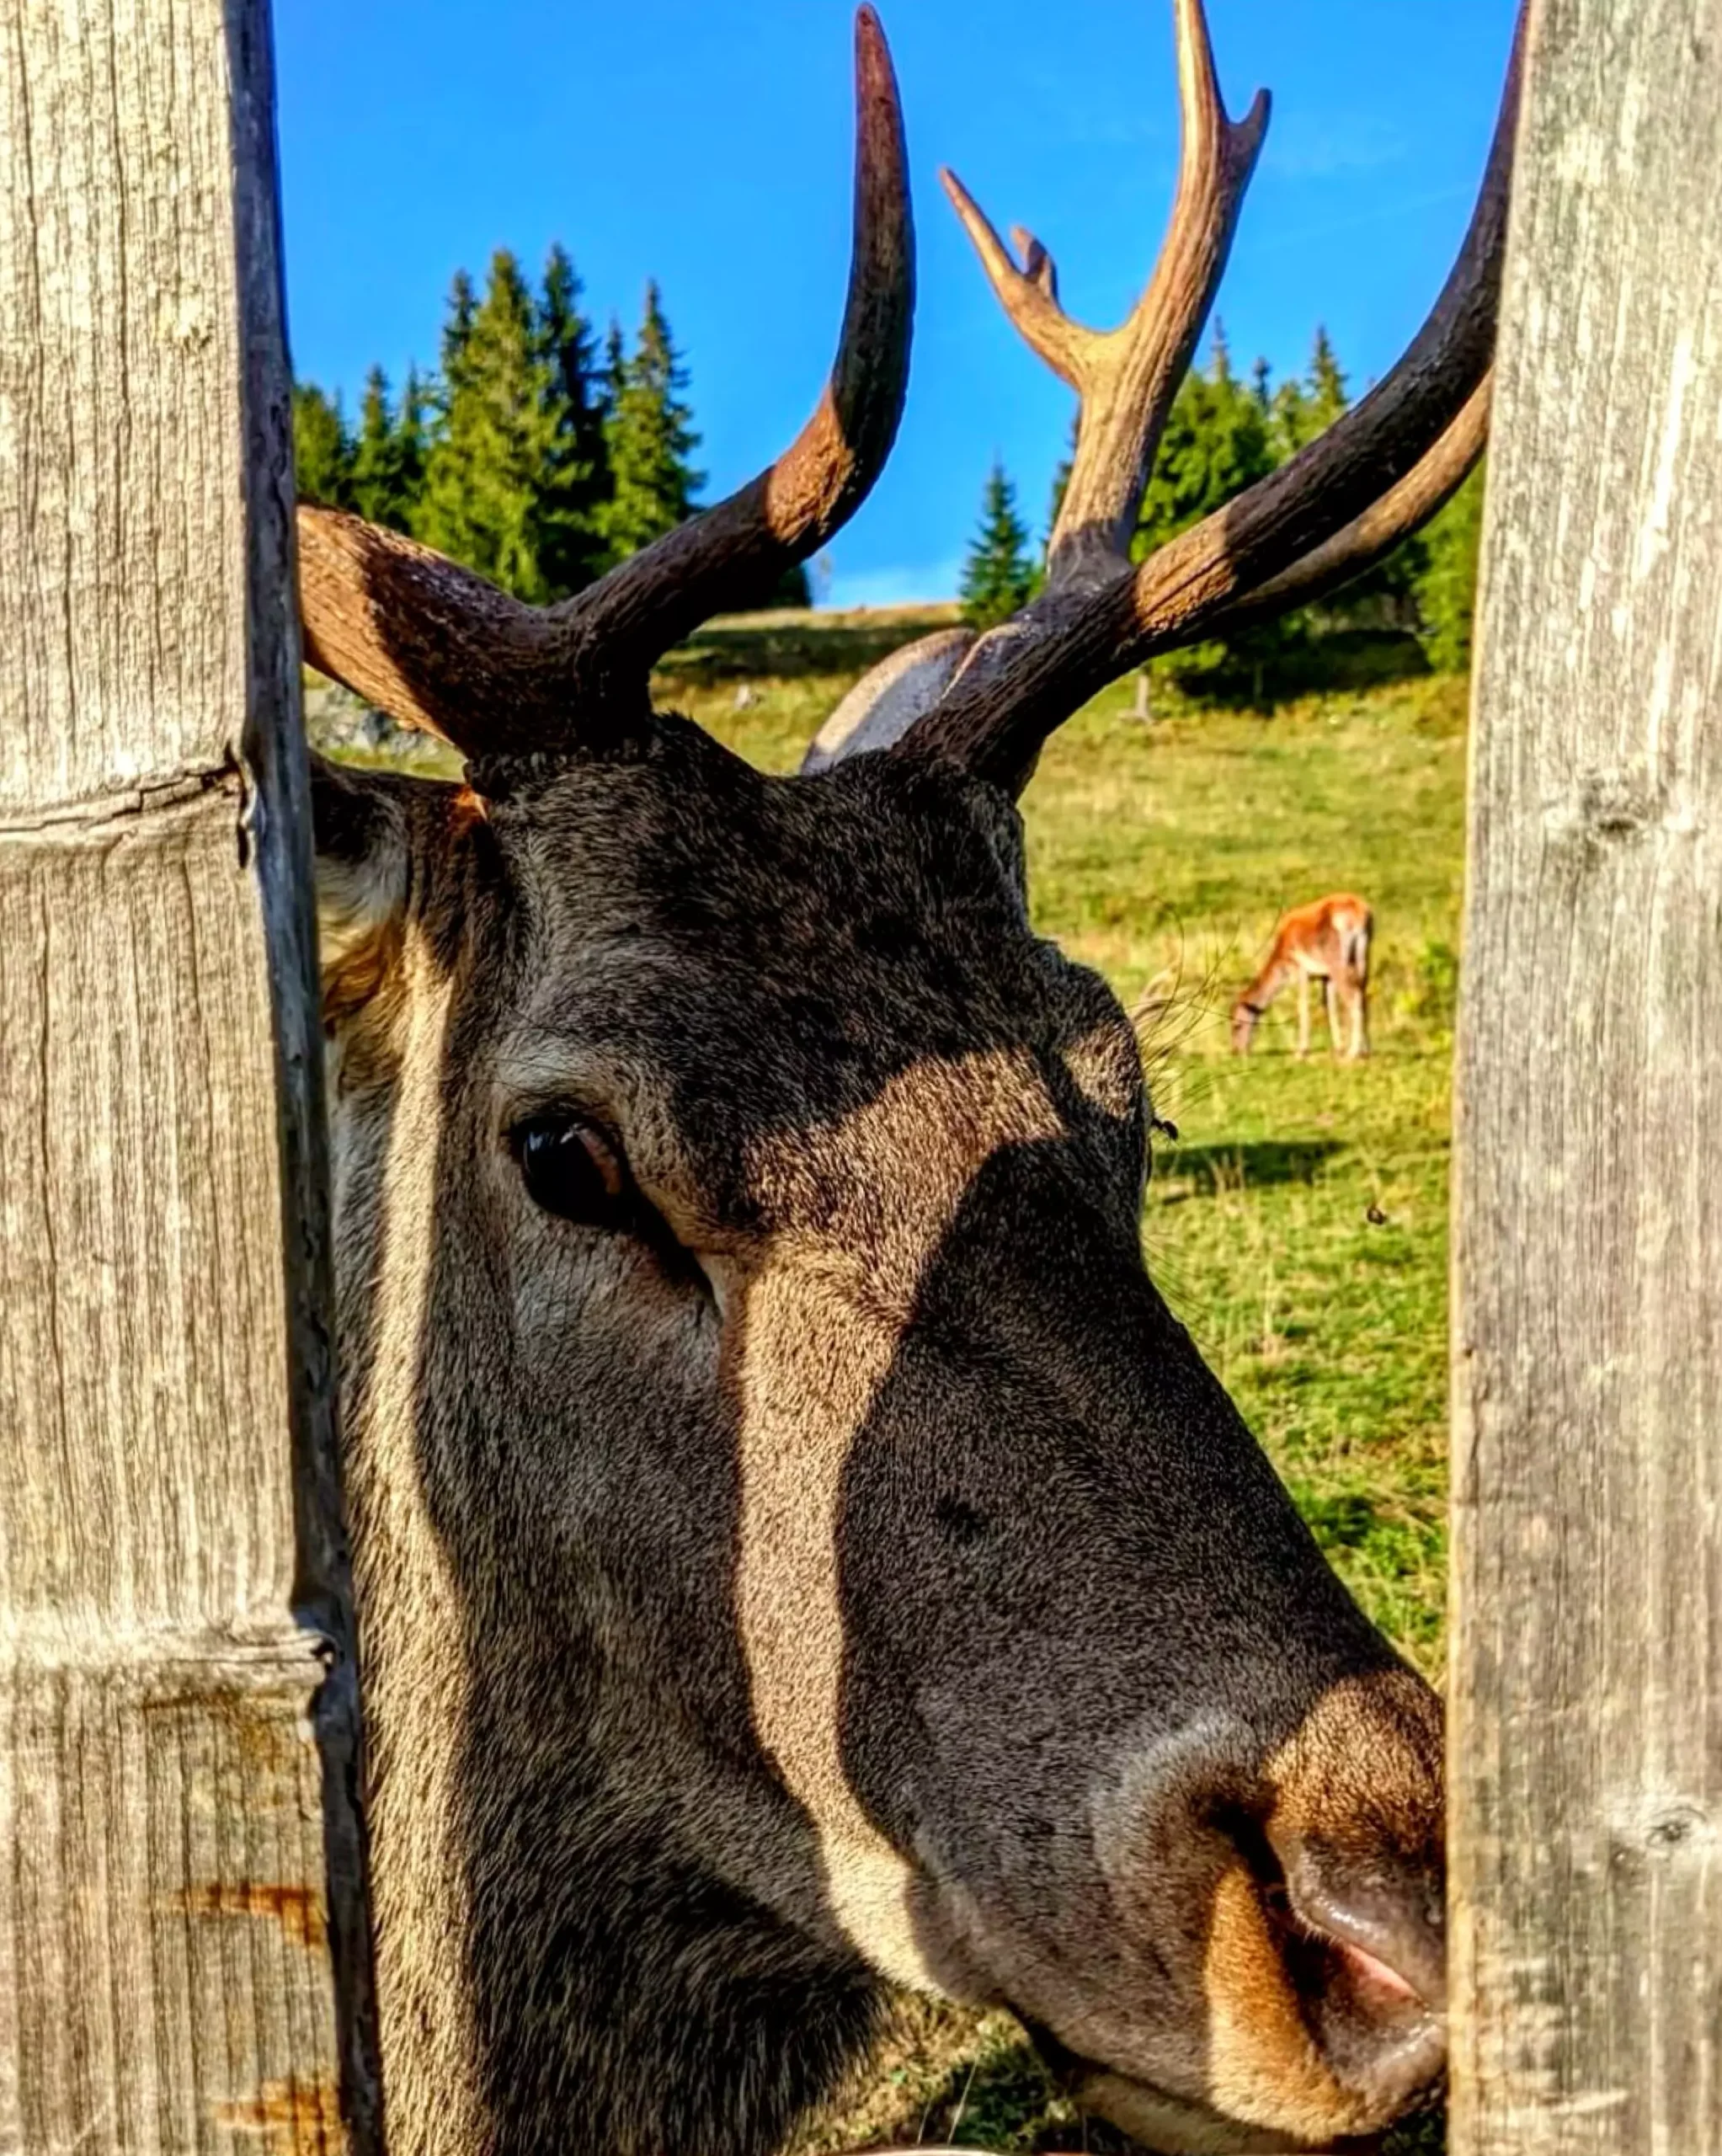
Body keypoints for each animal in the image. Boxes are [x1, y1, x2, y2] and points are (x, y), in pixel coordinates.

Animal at [1231, 894, 1373, 1061]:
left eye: (1237, 1025)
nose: (1236, 1051)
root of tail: (1360, 912)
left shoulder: (1302, 970)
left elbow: (1302, 1005)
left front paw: (1301, 1052)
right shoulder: (1326, 976)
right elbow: (1329, 1006)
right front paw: (1337, 1049)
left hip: (1338, 962)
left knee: (1353, 997)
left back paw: (1352, 1053)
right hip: (1363, 956)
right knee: (1362, 995)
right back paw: (1366, 1050)